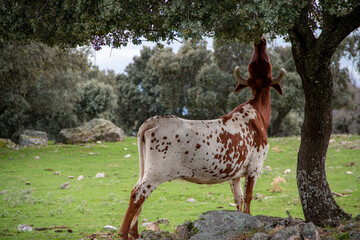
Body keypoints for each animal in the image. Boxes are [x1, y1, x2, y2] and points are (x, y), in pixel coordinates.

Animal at [119, 36, 286, 239]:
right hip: (157, 171)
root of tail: (154, 120)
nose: (259, 40)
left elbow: (238, 199)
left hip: (146, 167)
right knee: (137, 194)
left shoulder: (235, 175)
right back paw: (123, 233)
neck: (258, 114)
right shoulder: (255, 167)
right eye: (265, 62)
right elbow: (248, 198)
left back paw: (134, 232)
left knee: (138, 194)